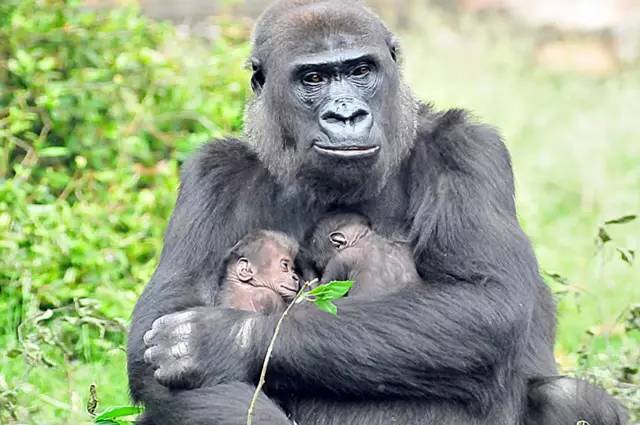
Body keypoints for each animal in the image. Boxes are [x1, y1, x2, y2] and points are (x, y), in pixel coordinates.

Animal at [127, 0, 628, 424]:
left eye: (361, 70)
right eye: (313, 79)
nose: (346, 114)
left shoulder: (466, 149)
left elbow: (487, 299)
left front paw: (222, 341)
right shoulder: (212, 174)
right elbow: (158, 354)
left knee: (567, 396)